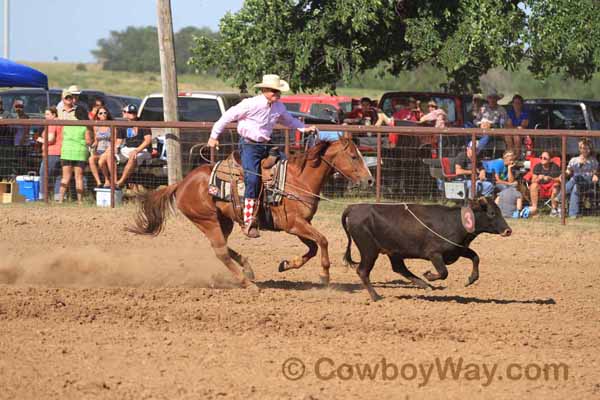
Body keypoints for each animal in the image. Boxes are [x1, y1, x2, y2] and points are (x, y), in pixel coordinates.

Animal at [129, 138, 372, 290]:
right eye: (353, 156)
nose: (369, 180)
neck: (298, 180)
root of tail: (182, 183)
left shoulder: (299, 225)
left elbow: (312, 247)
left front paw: (286, 264)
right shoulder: (294, 224)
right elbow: (322, 240)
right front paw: (324, 275)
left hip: (223, 221)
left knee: (222, 247)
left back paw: (248, 269)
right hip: (208, 220)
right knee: (220, 251)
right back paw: (248, 284)